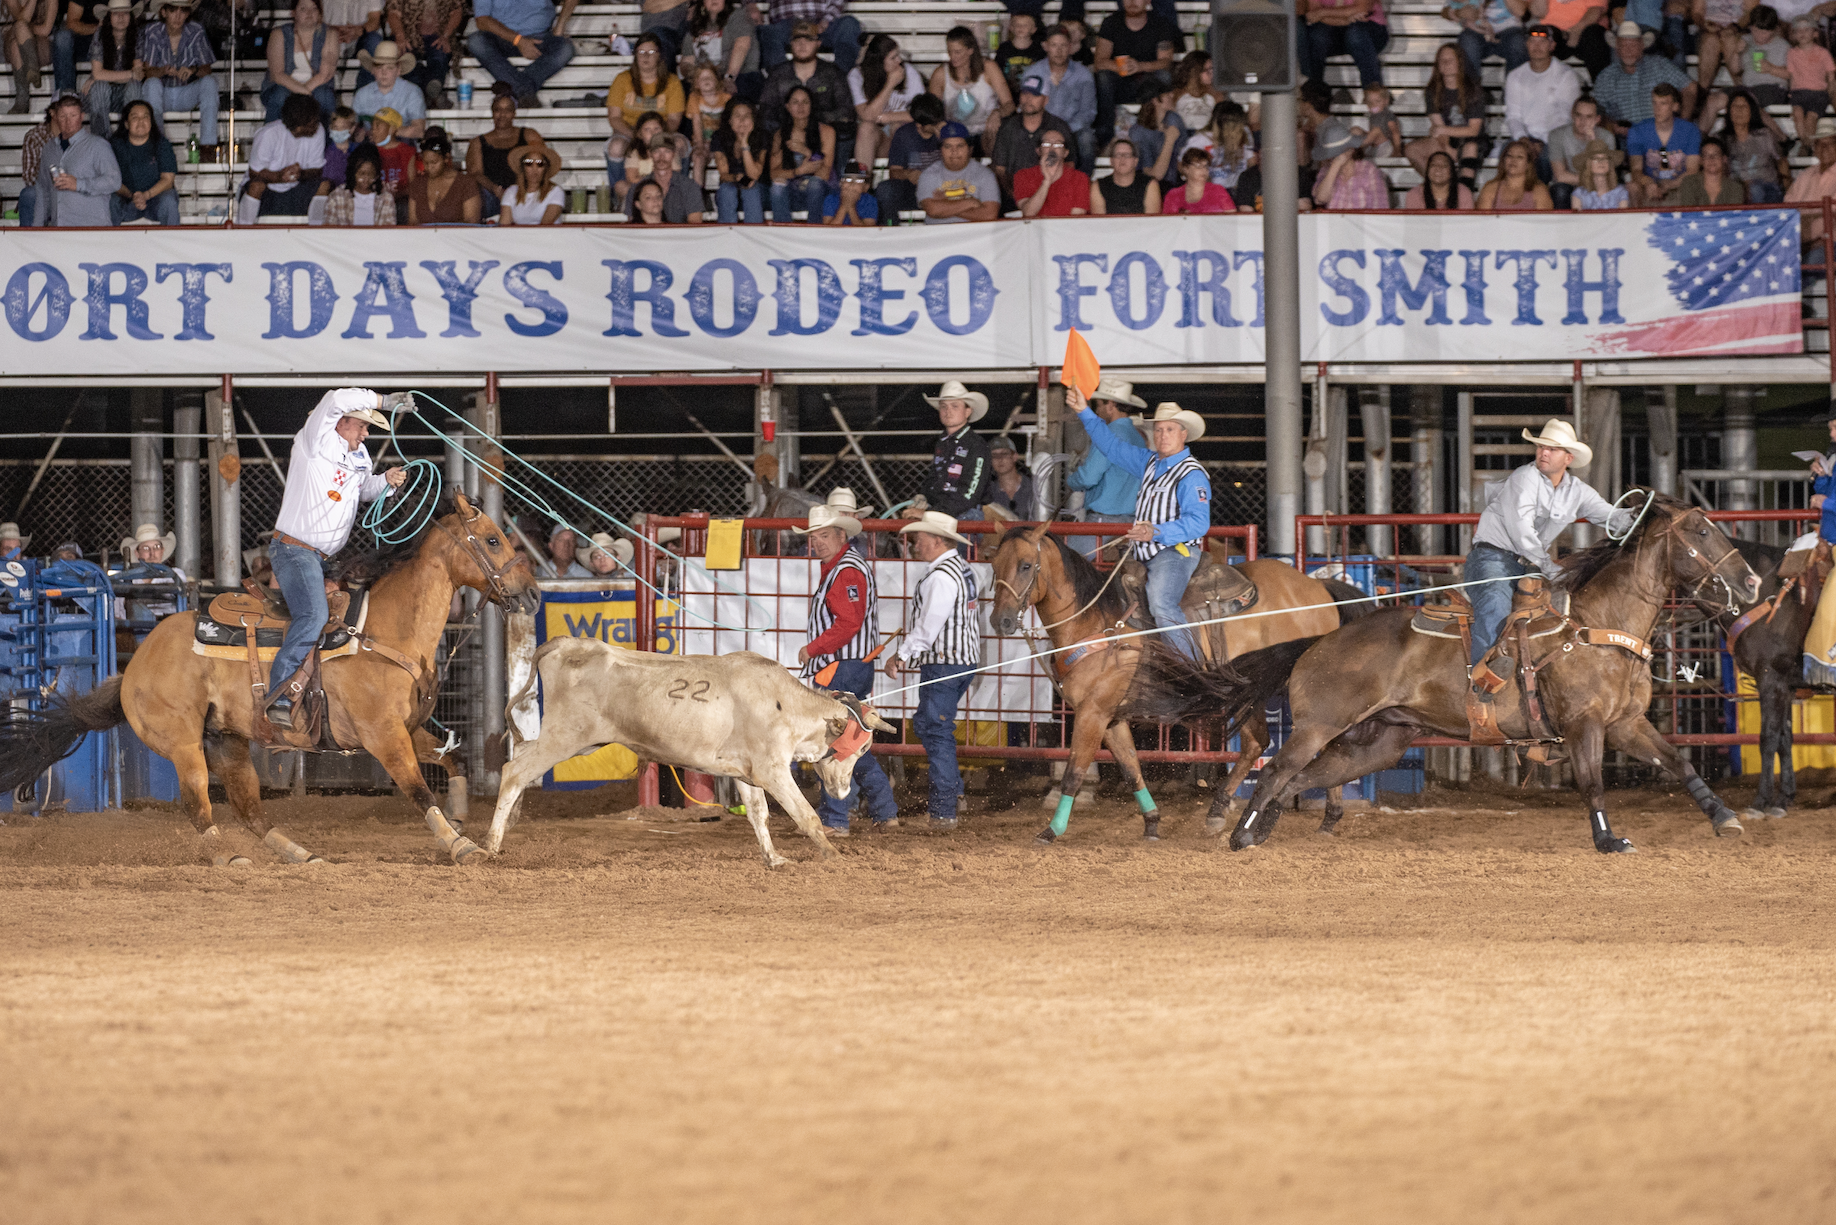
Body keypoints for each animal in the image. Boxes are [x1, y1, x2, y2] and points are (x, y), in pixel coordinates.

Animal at [0, 488, 536, 863]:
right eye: (493, 539)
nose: (531, 594)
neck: (385, 631)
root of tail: (133, 668)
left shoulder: (407, 730)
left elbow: (455, 761)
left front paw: (464, 819)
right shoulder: (382, 736)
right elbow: (419, 789)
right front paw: (462, 846)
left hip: (228, 743)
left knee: (250, 810)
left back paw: (302, 855)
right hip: (184, 745)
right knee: (200, 807)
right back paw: (227, 856)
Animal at [991, 521, 1380, 848]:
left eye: (1026, 565)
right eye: (994, 565)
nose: (1001, 621)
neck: (1097, 622)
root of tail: (1316, 587)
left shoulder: (1093, 713)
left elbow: (1074, 772)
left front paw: (1051, 830)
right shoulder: (1111, 716)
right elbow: (1131, 769)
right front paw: (1151, 823)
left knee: (1321, 740)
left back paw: (1324, 816)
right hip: (1250, 688)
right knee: (1259, 743)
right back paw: (1226, 811)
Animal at [1211, 492, 1755, 859]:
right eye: (1701, 532)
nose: (1750, 581)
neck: (1597, 627)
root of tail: (1319, 639)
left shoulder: (1624, 724)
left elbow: (1679, 762)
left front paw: (1724, 817)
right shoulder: (1584, 725)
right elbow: (1592, 783)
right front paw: (1607, 839)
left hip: (1379, 742)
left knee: (1301, 778)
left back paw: (1260, 830)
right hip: (1320, 727)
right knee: (1279, 771)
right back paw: (1239, 834)